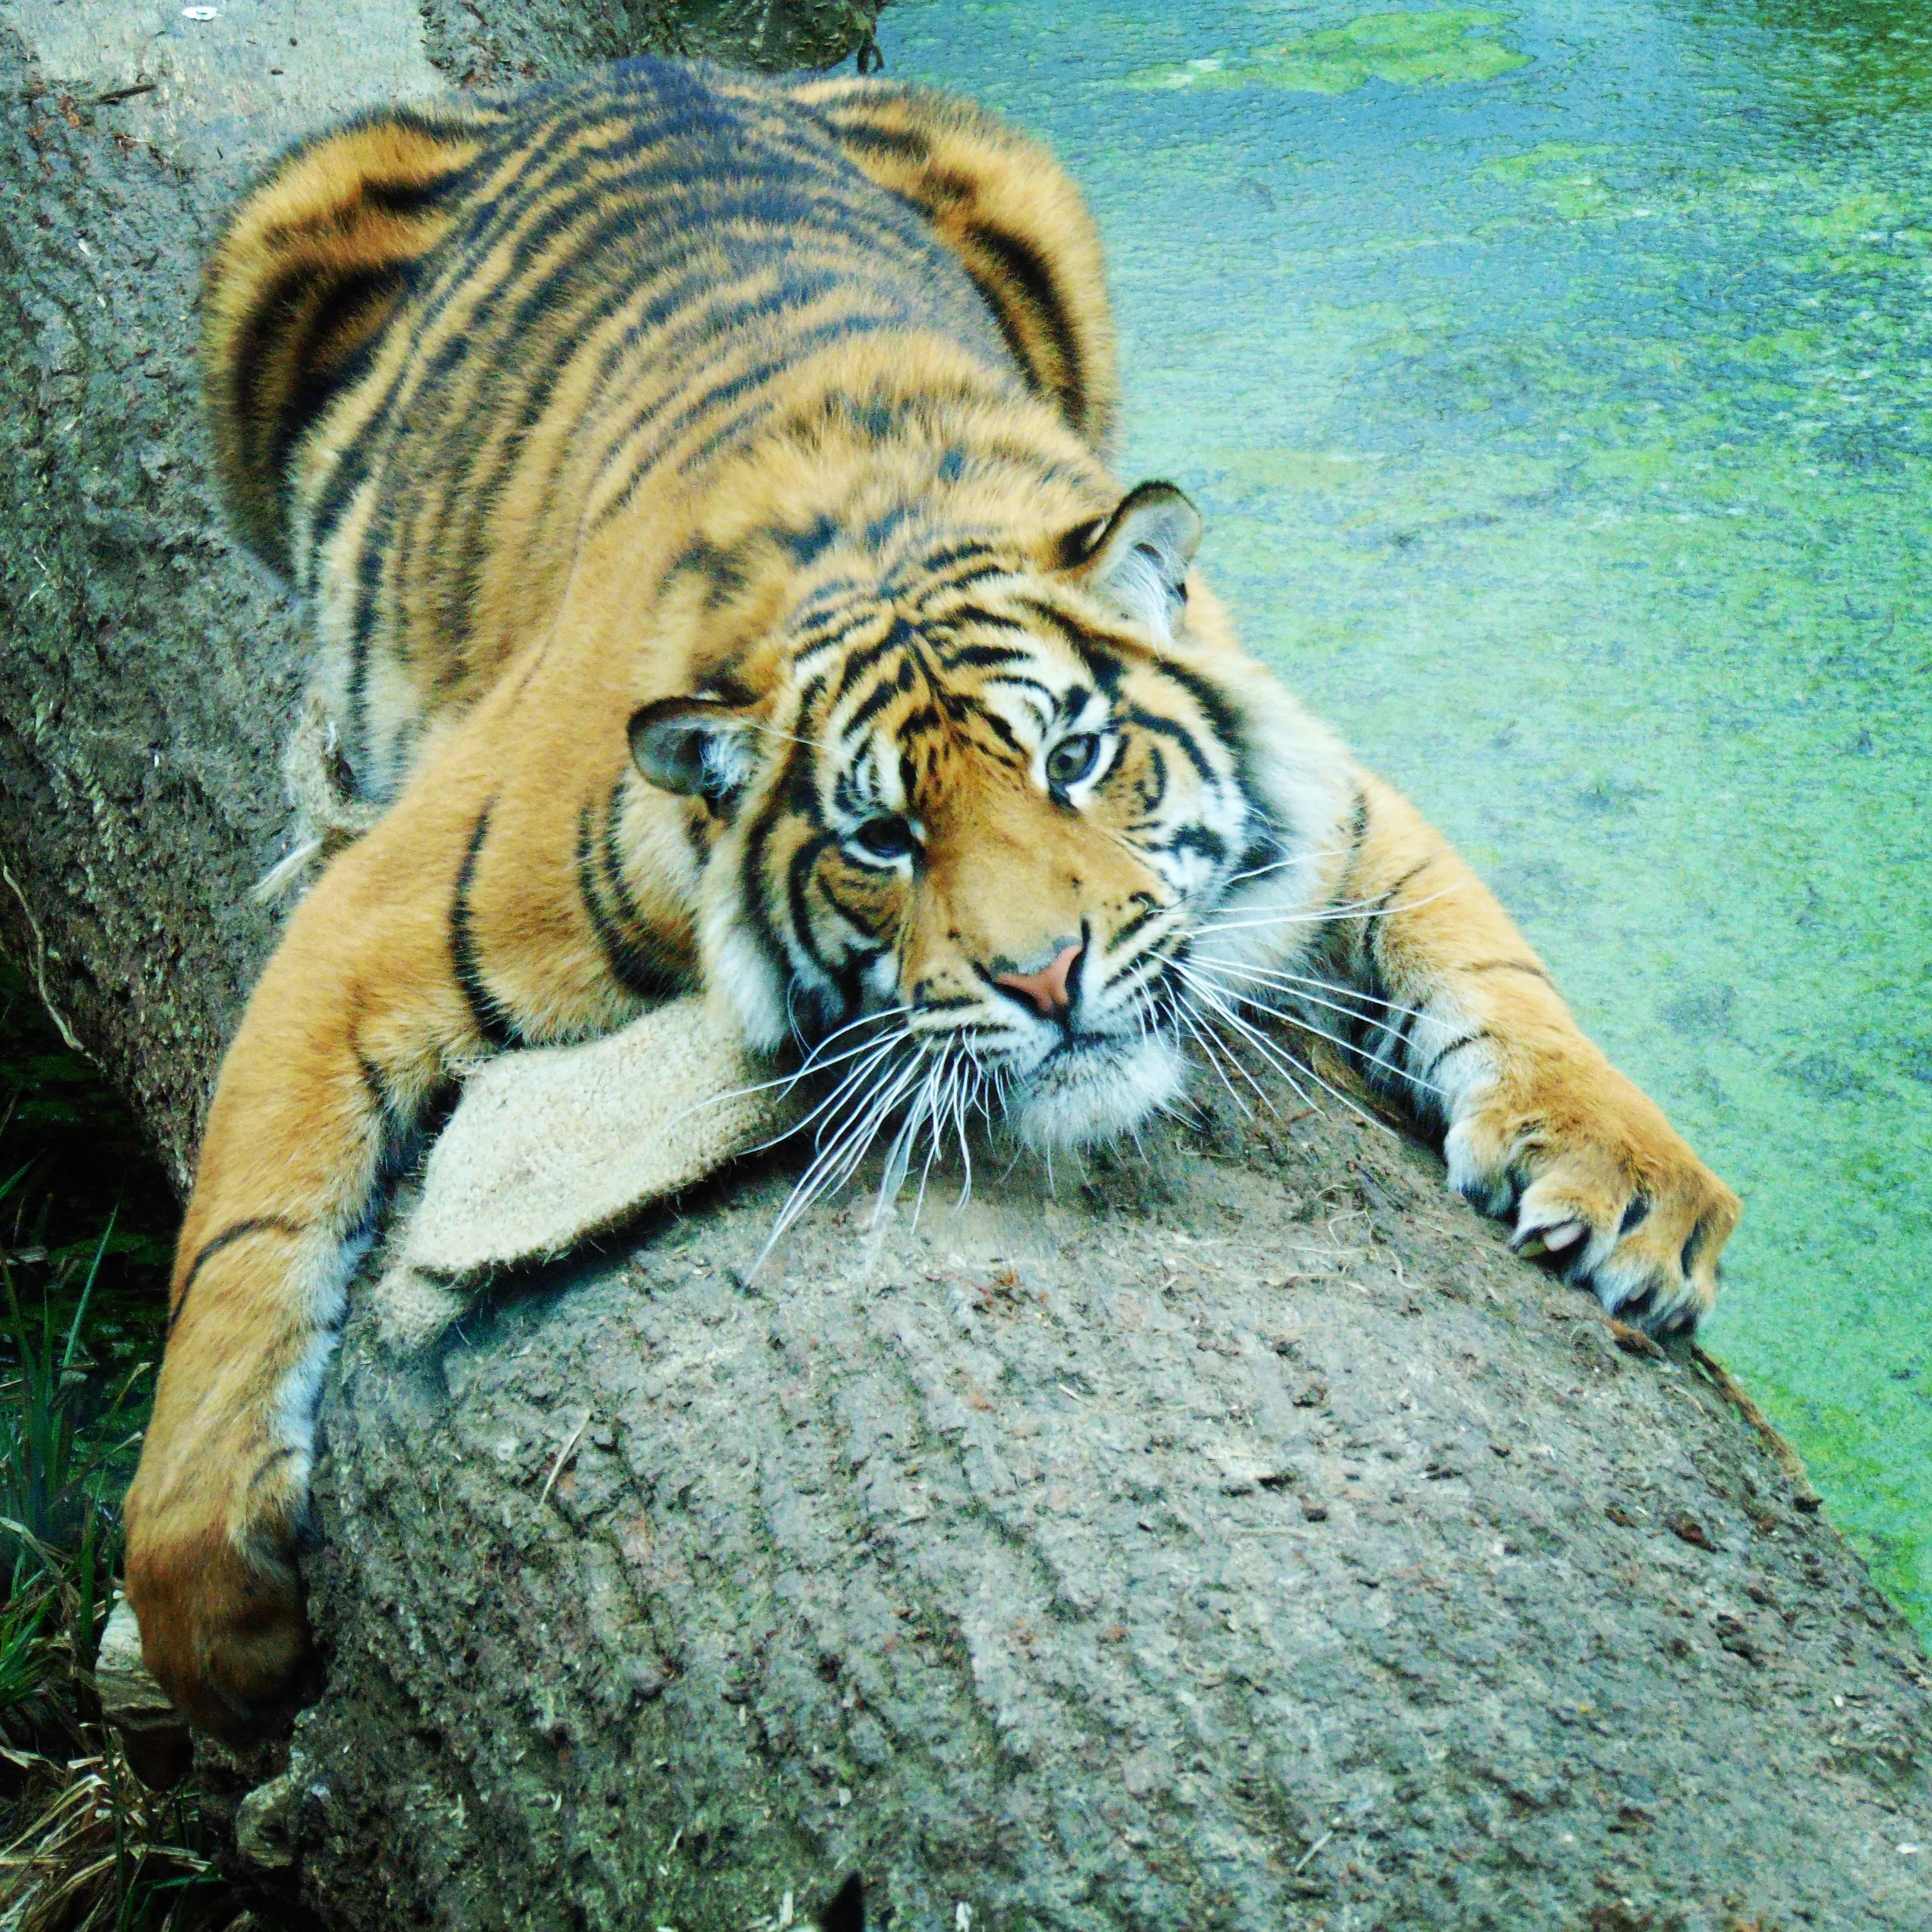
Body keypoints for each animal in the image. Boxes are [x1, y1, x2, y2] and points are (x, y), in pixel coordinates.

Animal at [123, 57, 1740, 1737]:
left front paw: (1635, 1191)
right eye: (883, 837)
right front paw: (207, 1610)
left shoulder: (1329, 783)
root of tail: (639, 65)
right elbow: (239, 1242)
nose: (1048, 978)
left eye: (1078, 757)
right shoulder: (371, 917)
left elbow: (1482, 944)